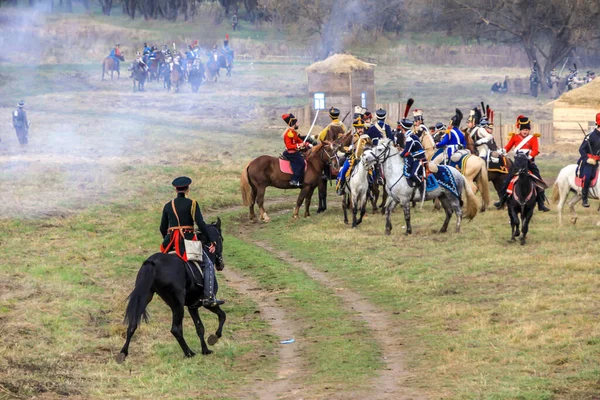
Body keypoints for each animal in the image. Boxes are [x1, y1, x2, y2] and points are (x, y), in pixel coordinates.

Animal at [116, 219, 226, 362]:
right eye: (221, 239)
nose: (221, 265)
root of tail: (152, 262)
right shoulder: (207, 302)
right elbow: (222, 316)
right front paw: (214, 338)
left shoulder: (193, 306)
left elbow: (200, 327)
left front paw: (205, 350)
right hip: (177, 304)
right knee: (176, 329)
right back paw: (189, 353)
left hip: (146, 297)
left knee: (132, 324)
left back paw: (123, 353)